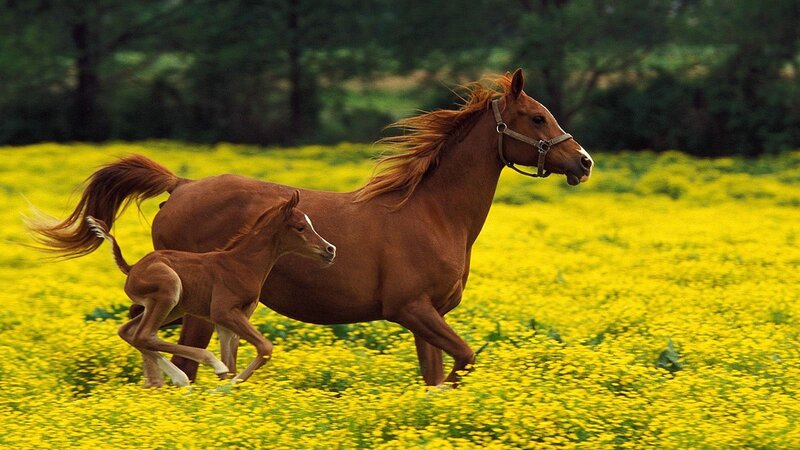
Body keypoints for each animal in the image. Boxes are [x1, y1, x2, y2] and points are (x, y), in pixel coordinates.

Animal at [85, 191, 336, 387]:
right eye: (300, 227)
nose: (330, 249)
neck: (242, 264)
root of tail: (132, 267)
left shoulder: (230, 320)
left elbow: (234, 362)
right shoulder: (222, 312)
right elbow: (264, 348)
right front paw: (224, 387)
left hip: (173, 307)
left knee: (130, 332)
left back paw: (179, 379)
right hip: (169, 290)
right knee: (144, 334)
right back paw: (204, 367)